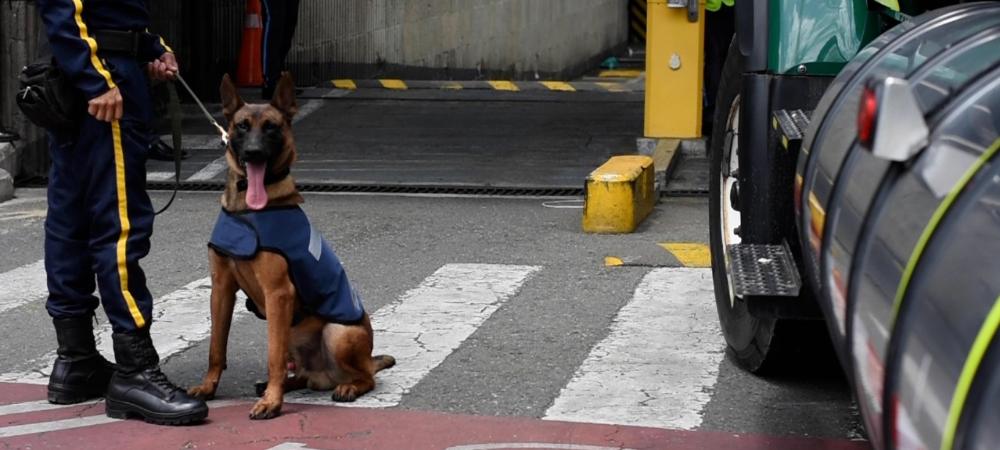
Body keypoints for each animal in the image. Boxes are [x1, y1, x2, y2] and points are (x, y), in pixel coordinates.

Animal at [188, 72, 394, 420]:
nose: (254, 153)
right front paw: (208, 387)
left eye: (271, 127)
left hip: (337, 333)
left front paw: (272, 402)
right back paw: (291, 382)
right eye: (242, 126)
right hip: (294, 335)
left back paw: (348, 387)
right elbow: (216, 347)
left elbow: (272, 355)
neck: (248, 211)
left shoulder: (278, 293)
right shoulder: (221, 288)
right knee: (300, 371)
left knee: (365, 377)